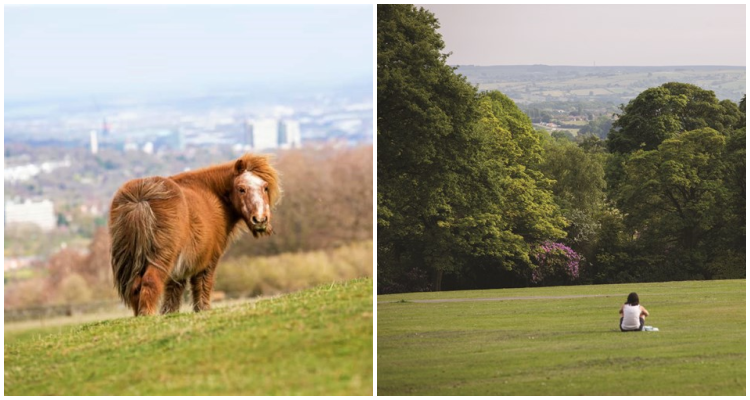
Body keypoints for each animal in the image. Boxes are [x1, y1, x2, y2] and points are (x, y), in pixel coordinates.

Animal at [107, 153, 280, 316]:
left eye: (265, 187)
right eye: (241, 189)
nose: (260, 219)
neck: (212, 195)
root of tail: (141, 199)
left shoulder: (179, 270)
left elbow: (173, 296)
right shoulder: (208, 262)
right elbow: (202, 286)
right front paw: (203, 310)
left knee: (136, 286)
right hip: (162, 256)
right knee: (150, 281)